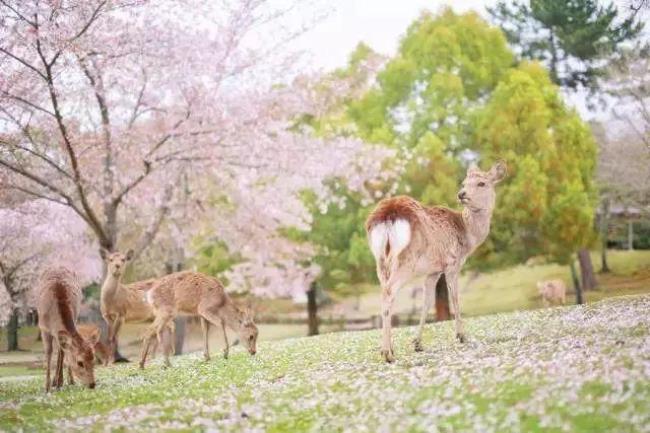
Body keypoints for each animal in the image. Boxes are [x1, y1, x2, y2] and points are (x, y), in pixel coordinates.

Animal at [368, 160, 504, 360]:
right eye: (464, 183)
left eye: (481, 183)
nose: (461, 194)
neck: (468, 237)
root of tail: (388, 214)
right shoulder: (452, 263)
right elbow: (455, 297)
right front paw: (461, 336)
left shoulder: (432, 271)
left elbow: (427, 302)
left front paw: (417, 343)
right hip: (406, 260)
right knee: (388, 292)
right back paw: (387, 354)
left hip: (379, 259)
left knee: (385, 291)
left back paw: (388, 348)